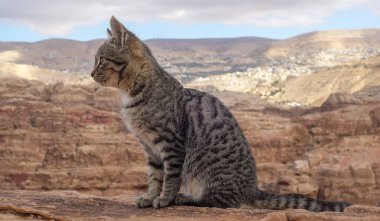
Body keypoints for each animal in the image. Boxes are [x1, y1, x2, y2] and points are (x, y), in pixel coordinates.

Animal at [90, 16, 352, 212]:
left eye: (101, 60)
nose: (91, 73)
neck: (131, 93)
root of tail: (252, 188)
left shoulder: (170, 142)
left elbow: (170, 176)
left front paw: (164, 199)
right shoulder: (149, 146)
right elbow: (154, 176)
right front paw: (150, 195)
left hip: (209, 175)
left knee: (222, 201)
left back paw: (187, 198)